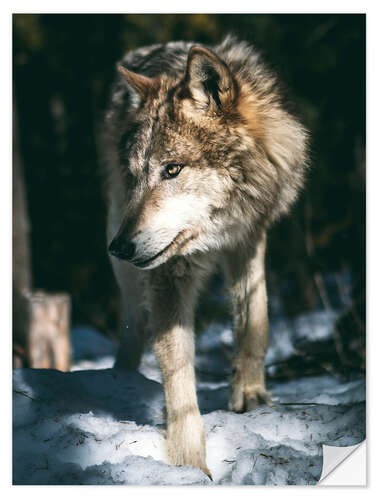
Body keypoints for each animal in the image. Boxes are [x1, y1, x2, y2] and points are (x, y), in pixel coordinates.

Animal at [103, 36, 308, 476]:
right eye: (136, 176)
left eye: (172, 169)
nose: (120, 247)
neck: (215, 230)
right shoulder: (168, 272)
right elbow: (177, 371)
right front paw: (188, 464)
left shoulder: (249, 237)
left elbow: (255, 321)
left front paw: (250, 396)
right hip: (118, 236)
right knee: (133, 323)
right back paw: (118, 379)